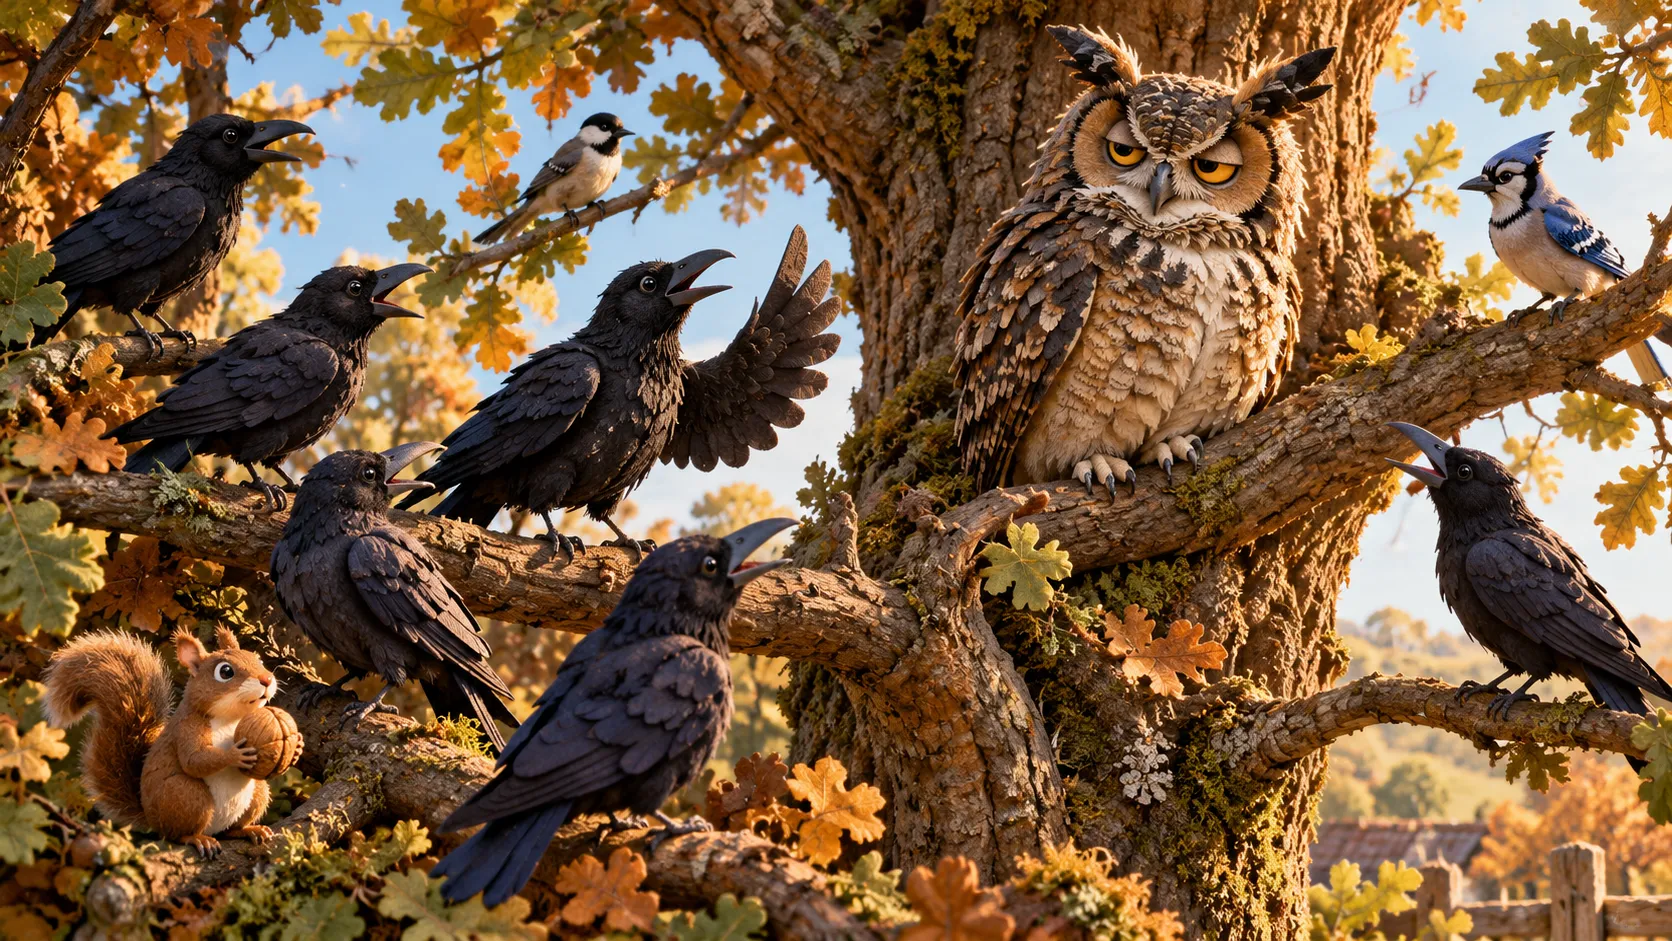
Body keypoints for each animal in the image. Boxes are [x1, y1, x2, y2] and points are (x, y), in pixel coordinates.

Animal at [43, 627, 280, 856]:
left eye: (258, 659)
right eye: (225, 672)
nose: (267, 679)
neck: (231, 718)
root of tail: (152, 819)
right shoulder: (187, 728)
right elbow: (195, 760)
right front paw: (234, 754)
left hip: (258, 792)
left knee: (231, 829)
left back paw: (249, 829)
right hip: (186, 794)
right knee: (178, 834)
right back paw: (198, 839)